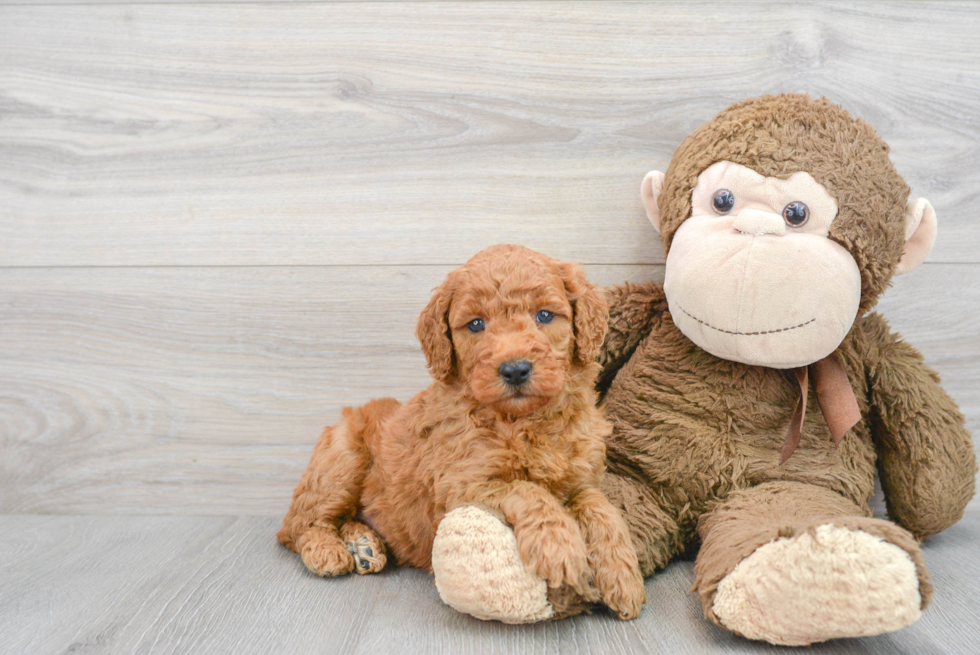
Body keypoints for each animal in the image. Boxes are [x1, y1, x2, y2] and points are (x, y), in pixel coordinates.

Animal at [278, 245, 644, 620]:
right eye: (476, 324)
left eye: (544, 315)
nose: (515, 369)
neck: (522, 420)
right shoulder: (461, 483)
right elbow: (528, 490)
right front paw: (560, 547)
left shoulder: (582, 477)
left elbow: (601, 508)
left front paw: (624, 577)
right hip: (341, 462)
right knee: (297, 525)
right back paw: (328, 550)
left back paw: (362, 544)